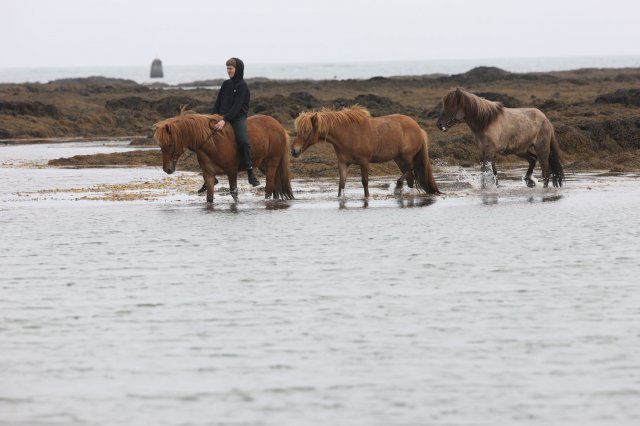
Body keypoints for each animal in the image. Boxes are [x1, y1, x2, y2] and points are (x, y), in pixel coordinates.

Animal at [154, 110, 294, 202]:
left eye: (170, 144)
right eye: (161, 145)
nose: (167, 169)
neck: (213, 144)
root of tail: (279, 126)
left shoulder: (232, 172)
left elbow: (234, 194)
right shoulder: (209, 175)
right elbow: (209, 198)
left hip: (272, 163)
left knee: (269, 187)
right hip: (263, 165)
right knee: (275, 186)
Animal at [292, 107, 438, 199]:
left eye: (307, 130)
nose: (294, 151)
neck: (348, 134)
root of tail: (418, 129)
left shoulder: (364, 162)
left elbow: (365, 182)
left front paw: (367, 197)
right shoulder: (343, 163)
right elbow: (341, 184)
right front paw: (340, 198)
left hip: (407, 157)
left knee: (411, 169)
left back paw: (397, 188)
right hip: (399, 160)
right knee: (410, 177)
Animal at [436, 87, 564, 187]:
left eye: (451, 106)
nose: (439, 125)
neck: (486, 122)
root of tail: (546, 119)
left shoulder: (490, 151)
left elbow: (486, 171)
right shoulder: (484, 152)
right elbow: (492, 171)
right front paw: (495, 186)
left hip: (542, 149)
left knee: (545, 170)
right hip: (520, 150)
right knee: (533, 160)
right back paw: (529, 181)